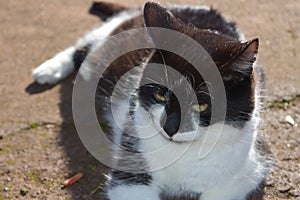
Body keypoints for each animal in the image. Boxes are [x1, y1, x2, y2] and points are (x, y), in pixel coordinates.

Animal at [31, 1, 268, 200]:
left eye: (201, 104)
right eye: (160, 95)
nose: (169, 128)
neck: (182, 151)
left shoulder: (248, 172)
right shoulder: (129, 172)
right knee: (84, 49)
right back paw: (48, 70)